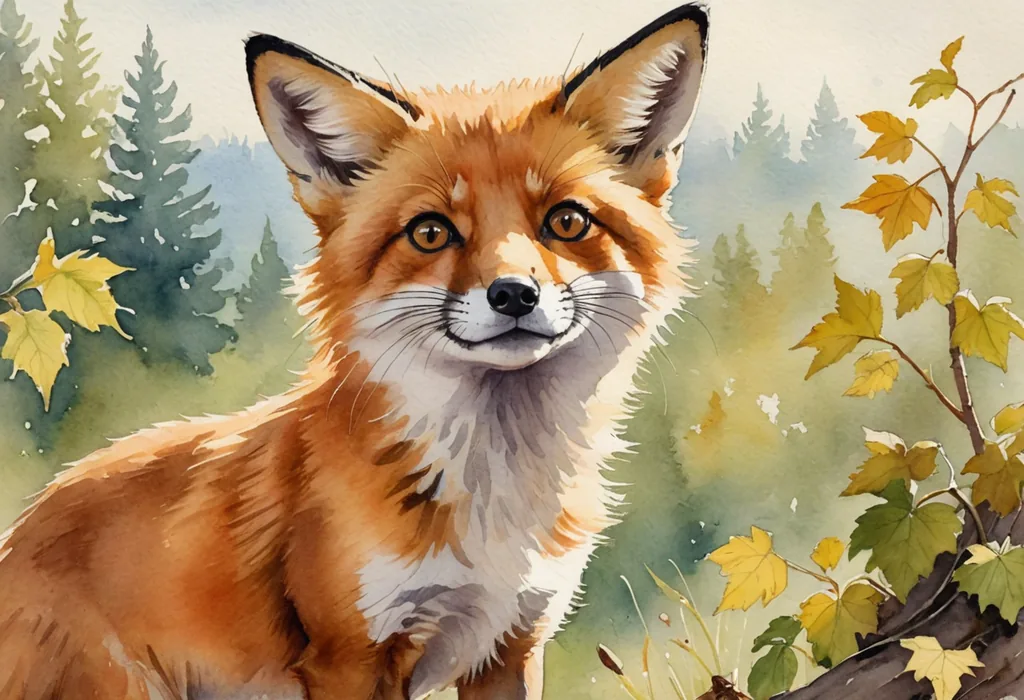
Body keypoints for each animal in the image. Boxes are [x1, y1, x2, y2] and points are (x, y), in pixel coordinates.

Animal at [0, 4, 709, 699]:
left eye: (567, 221)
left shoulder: (509, 647)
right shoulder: (348, 657)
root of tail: (21, 529)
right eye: (430, 232)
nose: (514, 294)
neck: (490, 495)